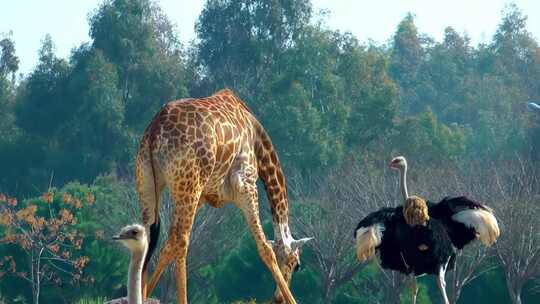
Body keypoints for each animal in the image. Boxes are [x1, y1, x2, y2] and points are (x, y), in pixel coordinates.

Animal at [135, 88, 312, 304]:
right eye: (296, 264)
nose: (277, 299)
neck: (258, 143)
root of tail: (155, 129)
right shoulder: (246, 185)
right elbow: (265, 248)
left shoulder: (204, 196)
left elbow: (167, 245)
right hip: (188, 183)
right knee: (182, 241)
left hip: (149, 182)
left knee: (152, 237)